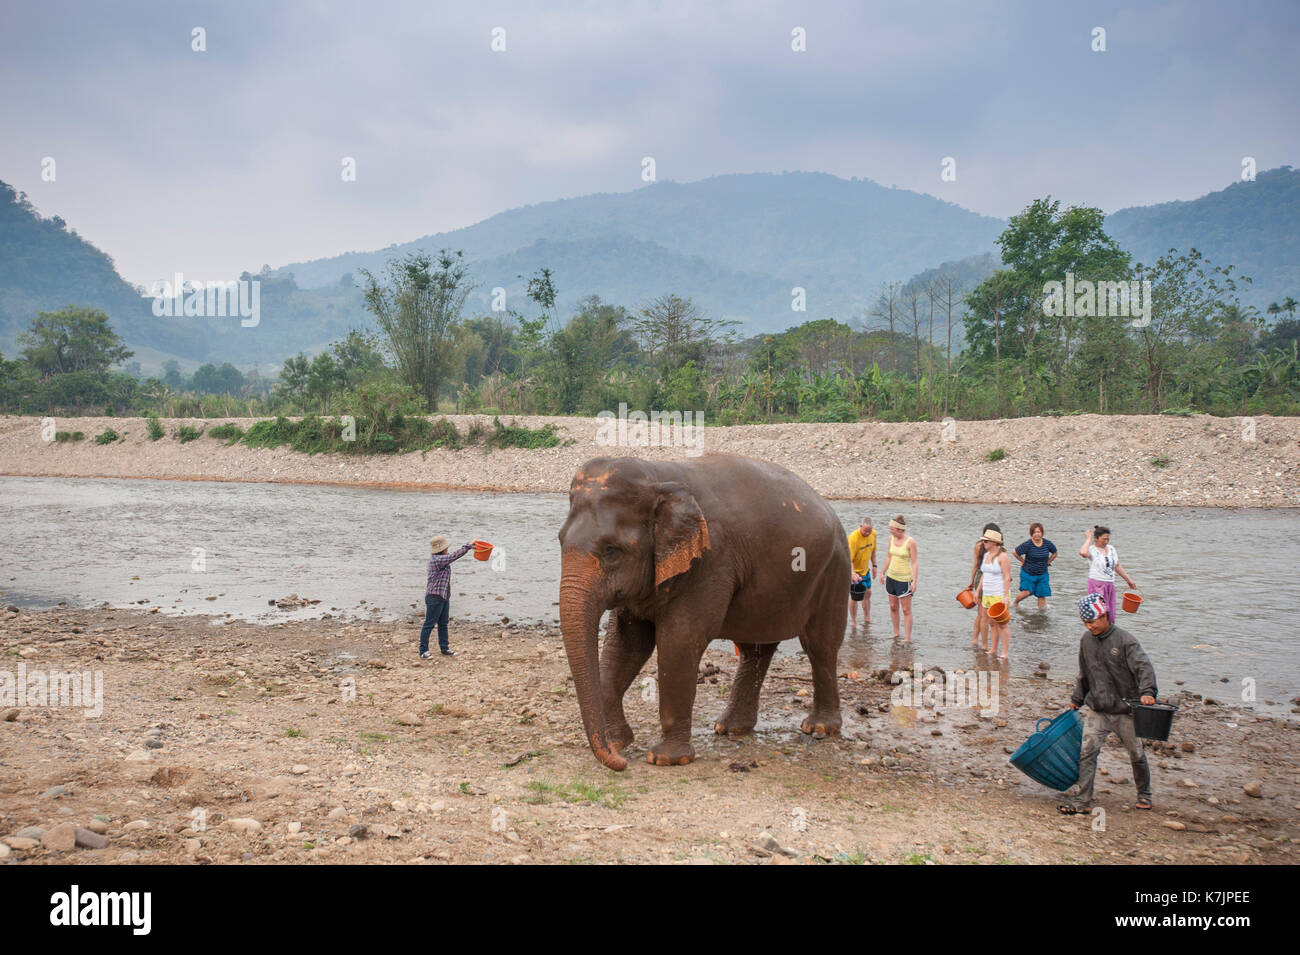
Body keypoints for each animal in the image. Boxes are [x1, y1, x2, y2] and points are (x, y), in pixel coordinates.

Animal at [553, 452, 847, 774]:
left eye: (610, 550)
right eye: (560, 540)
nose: (621, 764)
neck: (656, 476)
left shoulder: (710, 559)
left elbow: (679, 640)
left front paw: (665, 759)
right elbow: (626, 644)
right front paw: (619, 742)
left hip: (834, 570)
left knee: (820, 645)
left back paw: (819, 728)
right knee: (755, 650)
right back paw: (731, 728)